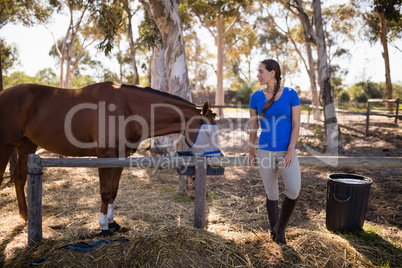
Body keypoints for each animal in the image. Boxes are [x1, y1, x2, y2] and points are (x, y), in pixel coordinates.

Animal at [0, 81, 220, 234]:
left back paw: (26, 216)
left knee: (19, 177)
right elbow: (105, 192)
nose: (216, 160)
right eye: (206, 131)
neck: (126, 109)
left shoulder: (119, 157)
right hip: (6, 146)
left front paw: (113, 223)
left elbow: (114, 190)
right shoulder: (105, 156)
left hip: (25, 146)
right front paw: (103, 227)